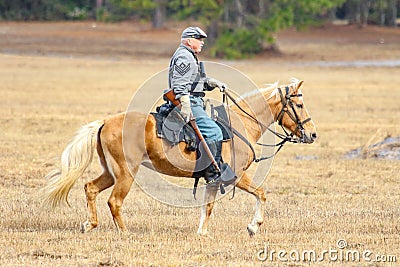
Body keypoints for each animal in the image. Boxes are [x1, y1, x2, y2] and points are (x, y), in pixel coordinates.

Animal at [40, 78, 316, 237]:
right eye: (300, 105)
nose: (312, 134)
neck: (241, 124)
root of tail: (105, 121)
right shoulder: (235, 176)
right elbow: (261, 193)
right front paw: (253, 226)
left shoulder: (213, 179)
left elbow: (208, 206)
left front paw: (202, 233)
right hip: (125, 174)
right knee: (114, 202)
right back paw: (125, 233)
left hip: (110, 172)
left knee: (90, 188)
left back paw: (89, 225)